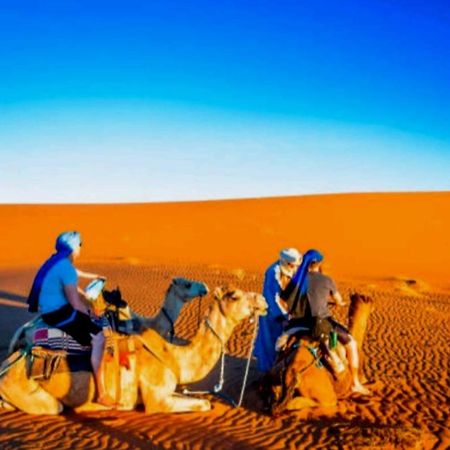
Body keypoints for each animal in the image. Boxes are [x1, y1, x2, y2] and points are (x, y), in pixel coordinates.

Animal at [0, 286, 268, 414]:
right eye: (234, 296)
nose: (263, 301)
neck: (174, 356)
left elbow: (202, 401)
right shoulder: (157, 399)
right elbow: (204, 405)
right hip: (27, 390)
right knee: (54, 407)